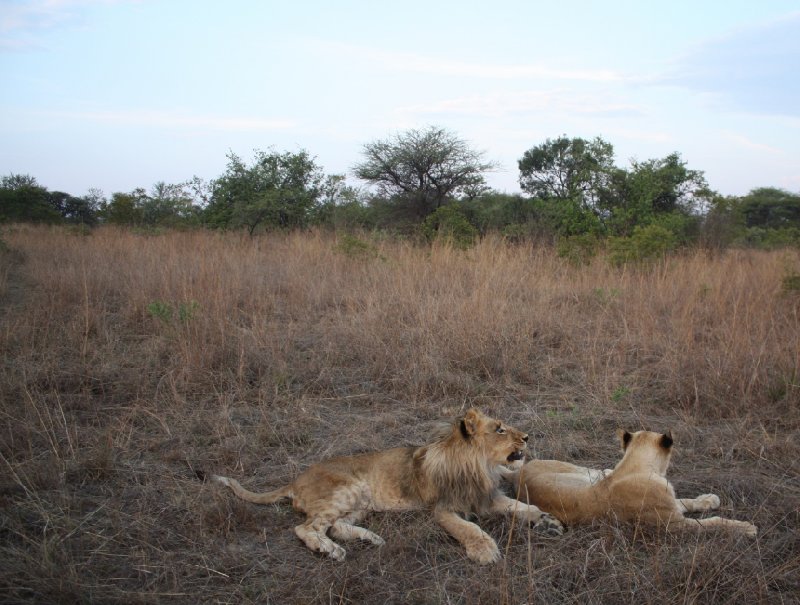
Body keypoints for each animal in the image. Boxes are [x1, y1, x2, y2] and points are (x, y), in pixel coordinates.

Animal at [211, 408, 564, 564]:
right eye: (500, 429)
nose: (528, 436)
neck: (480, 467)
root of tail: (295, 480)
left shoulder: (486, 498)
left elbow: (521, 506)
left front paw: (547, 521)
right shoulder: (443, 509)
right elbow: (469, 529)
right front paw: (486, 551)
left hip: (360, 502)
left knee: (335, 526)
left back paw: (371, 539)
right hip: (347, 489)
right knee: (306, 528)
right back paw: (331, 550)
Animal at [504, 428, 760, 536]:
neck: (635, 465)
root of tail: (517, 475)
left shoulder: (672, 506)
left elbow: (687, 501)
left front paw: (709, 499)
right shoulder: (673, 524)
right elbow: (712, 523)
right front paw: (745, 528)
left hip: (584, 471)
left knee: (601, 471)